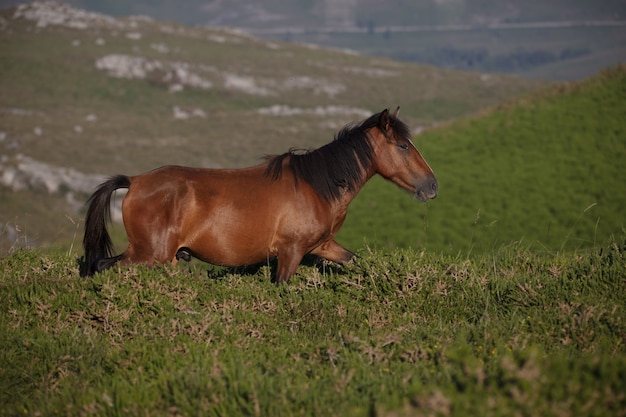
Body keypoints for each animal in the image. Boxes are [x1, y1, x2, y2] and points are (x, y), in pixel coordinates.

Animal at [80, 108, 436, 282]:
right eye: (403, 146)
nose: (432, 185)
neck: (316, 186)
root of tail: (135, 181)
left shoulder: (323, 246)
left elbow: (356, 262)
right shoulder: (291, 252)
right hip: (148, 254)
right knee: (105, 267)